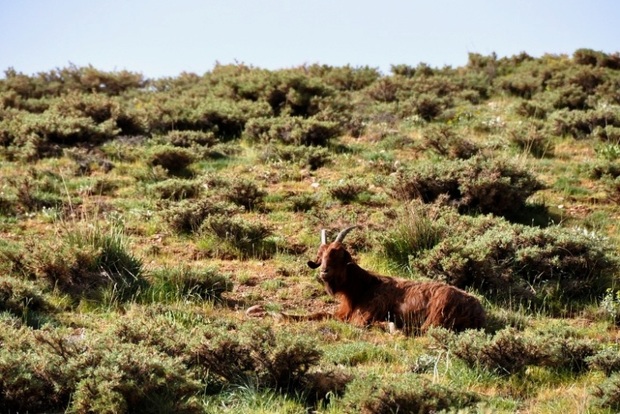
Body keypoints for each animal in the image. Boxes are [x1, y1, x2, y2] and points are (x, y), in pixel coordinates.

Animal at [308, 225, 486, 334]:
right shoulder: (343, 313)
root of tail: (479, 312)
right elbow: (319, 313)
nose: (324, 271)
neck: (364, 287)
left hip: (438, 313)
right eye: (321, 255)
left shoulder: (364, 315)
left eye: (338, 255)